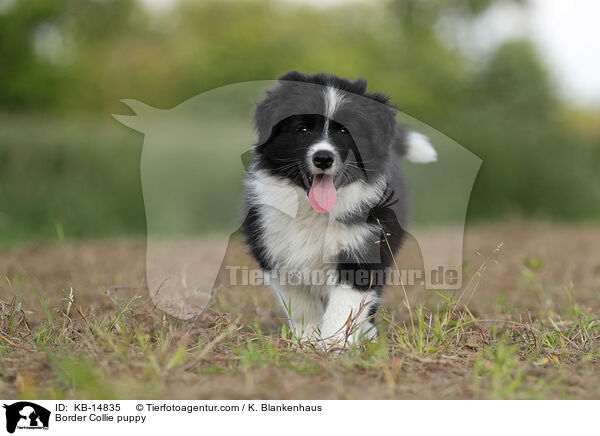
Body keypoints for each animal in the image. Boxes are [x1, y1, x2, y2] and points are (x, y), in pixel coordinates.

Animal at [243, 71, 436, 350]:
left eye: (345, 131)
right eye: (302, 129)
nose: (323, 158)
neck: (314, 212)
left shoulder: (364, 250)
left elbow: (344, 306)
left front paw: (334, 345)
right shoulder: (276, 251)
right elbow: (301, 305)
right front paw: (307, 340)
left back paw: (366, 332)